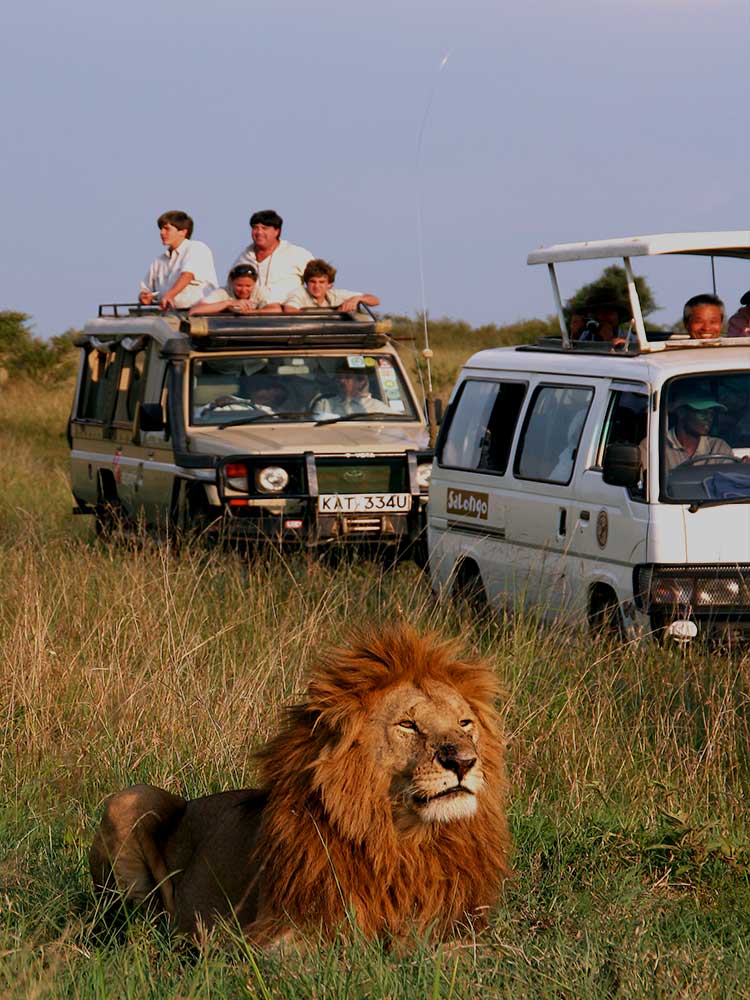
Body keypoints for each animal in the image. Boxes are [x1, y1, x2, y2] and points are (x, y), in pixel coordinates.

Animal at [89, 625, 512, 945]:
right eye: (407, 725)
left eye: (464, 723)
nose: (463, 761)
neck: (403, 840)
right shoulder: (281, 933)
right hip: (131, 798)